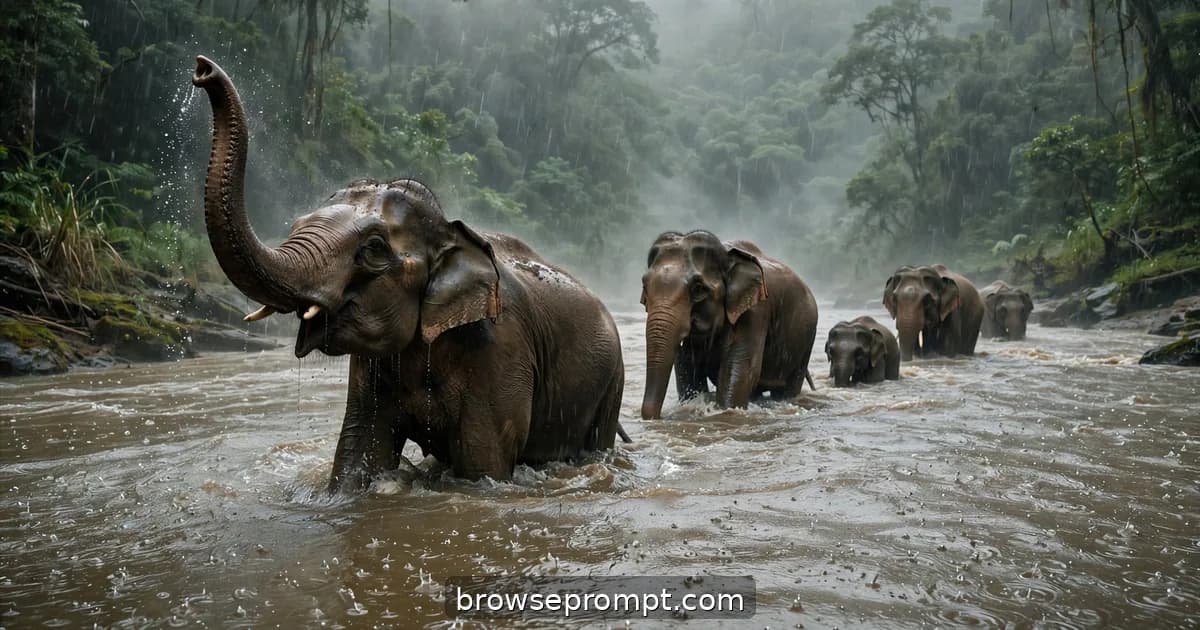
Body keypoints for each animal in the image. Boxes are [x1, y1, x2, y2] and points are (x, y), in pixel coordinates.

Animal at [192, 56, 628, 494]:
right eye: (297, 224)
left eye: (373, 248)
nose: (201, 70)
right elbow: (359, 452)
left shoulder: (502, 353)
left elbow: (484, 463)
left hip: (613, 381)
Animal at [639, 231, 818, 419]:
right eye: (644, 285)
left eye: (698, 289)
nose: (658, 418)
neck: (727, 256)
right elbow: (687, 368)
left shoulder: (755, 311)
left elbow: (740, 368)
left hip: (806, 341)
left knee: (788, 386)